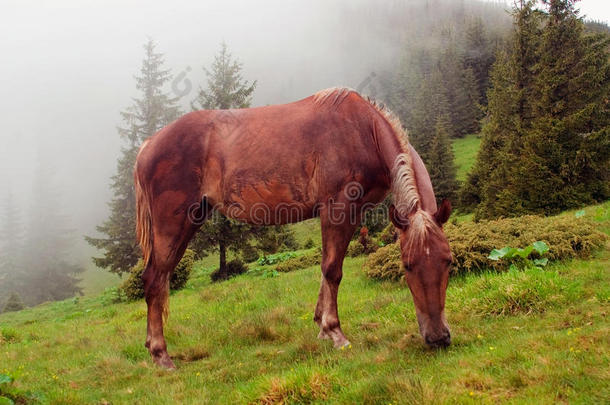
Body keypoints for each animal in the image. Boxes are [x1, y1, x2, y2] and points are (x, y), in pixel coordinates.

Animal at [133, 87, 448, 368]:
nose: (438, 338)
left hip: (192, 219)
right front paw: (335, 332)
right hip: (173, 222)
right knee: (154, 279)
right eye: (407, 265)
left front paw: (321, 326)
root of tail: (148, 145)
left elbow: (327, 267)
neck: (361, 129)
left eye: (448, 260)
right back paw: (161, 355)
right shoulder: (338, 207)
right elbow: (332, 270)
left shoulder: (351, 212)